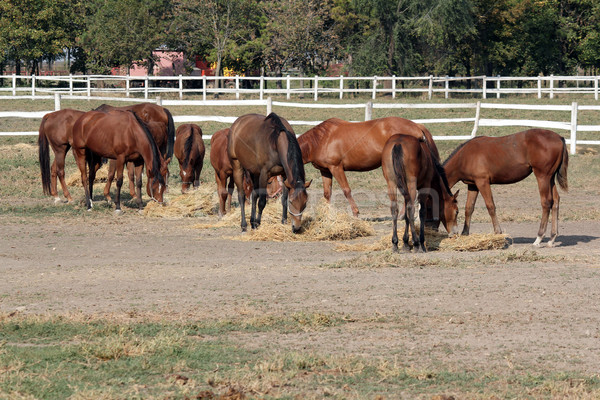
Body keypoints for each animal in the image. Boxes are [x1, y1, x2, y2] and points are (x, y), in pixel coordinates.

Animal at [298, 115, 438, 219]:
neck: (321, 139)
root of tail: (416, 126)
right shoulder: (326, 171)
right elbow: (327, 193)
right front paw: (326, 214)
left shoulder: (336, 168)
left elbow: (346, 190)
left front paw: (355, 213)